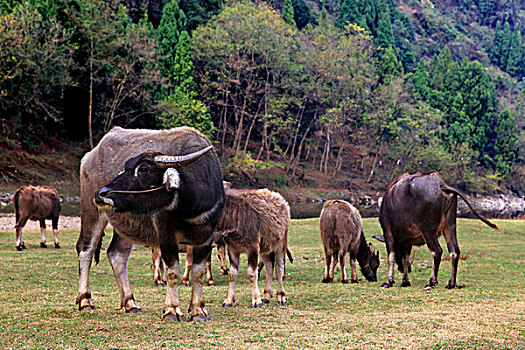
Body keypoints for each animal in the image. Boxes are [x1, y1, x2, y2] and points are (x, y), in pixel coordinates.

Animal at [77, 127, 224, 322]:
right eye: (127, 167)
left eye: (144, 169)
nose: (102, 193)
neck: (192, 208)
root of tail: (89, 156)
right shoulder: (166, 235)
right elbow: (172, 271)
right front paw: (172, 311)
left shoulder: (206, 237)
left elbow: (199, 273)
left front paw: (198, 311)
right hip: (92, 211)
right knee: (86, 249)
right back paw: (85, 301)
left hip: (126, 226)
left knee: (117, 255)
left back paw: (130, 303)